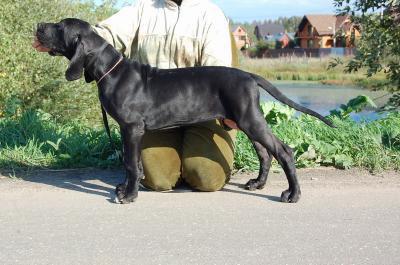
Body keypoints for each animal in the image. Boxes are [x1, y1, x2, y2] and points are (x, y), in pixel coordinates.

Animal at [35, 18, 334, 203]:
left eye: (59, 26)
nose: (38, 26)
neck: (111, 70)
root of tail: (249, 75)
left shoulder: (131, 127)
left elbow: (130, 162)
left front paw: (129, 195)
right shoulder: (128, 130)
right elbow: (133, 163)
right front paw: (124, 188)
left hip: (250, 120)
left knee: (283, 151)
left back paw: (292, 194)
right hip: (245, 121)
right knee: (265, 152)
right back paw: (257, 184)